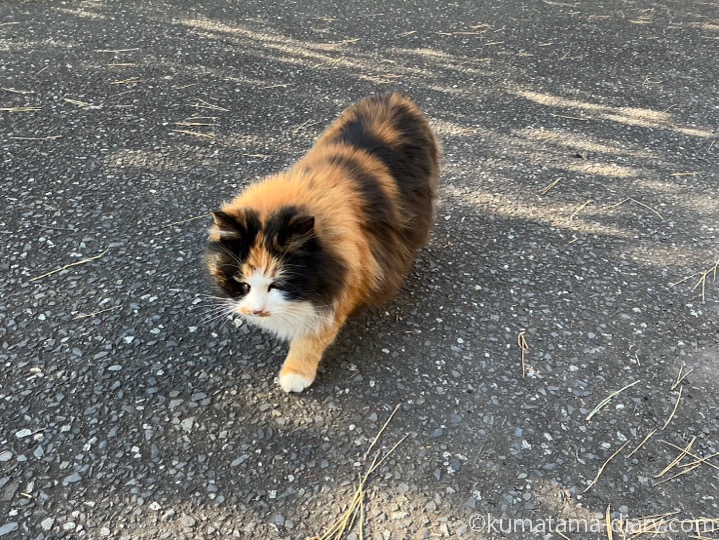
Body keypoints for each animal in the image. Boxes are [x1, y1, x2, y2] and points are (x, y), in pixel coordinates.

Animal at [205, 94, 442, 392]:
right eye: (242, 283)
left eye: (277, 284)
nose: (256, 311)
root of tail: (394, 97)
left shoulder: (344, 286)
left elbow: (312, 338)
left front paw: (295, 374)